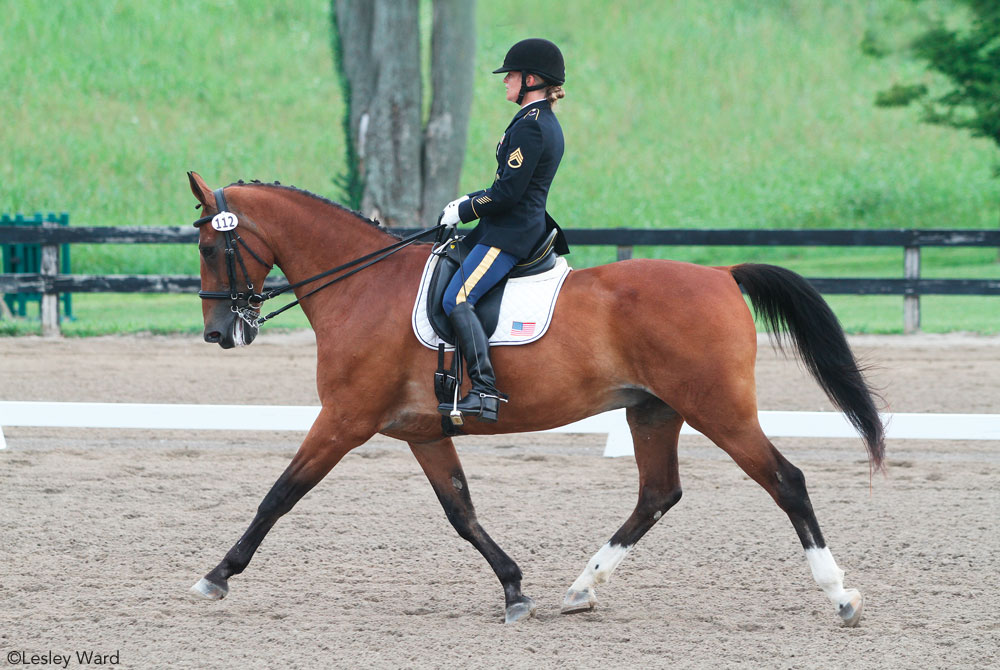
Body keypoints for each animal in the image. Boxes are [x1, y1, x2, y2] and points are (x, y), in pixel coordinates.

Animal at [186, 173, 884, 632]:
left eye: (208, 247)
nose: (220, 335)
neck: (362, 286)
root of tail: (720, 274)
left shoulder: (344, 421)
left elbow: (279, 494)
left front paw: (216, 576)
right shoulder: (423, 432)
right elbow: (462, 513)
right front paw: (515, 589)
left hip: (719, 409)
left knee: (785, 480)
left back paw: (841, 596)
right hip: (653, 410)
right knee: (658, 495)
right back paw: (580, 590)